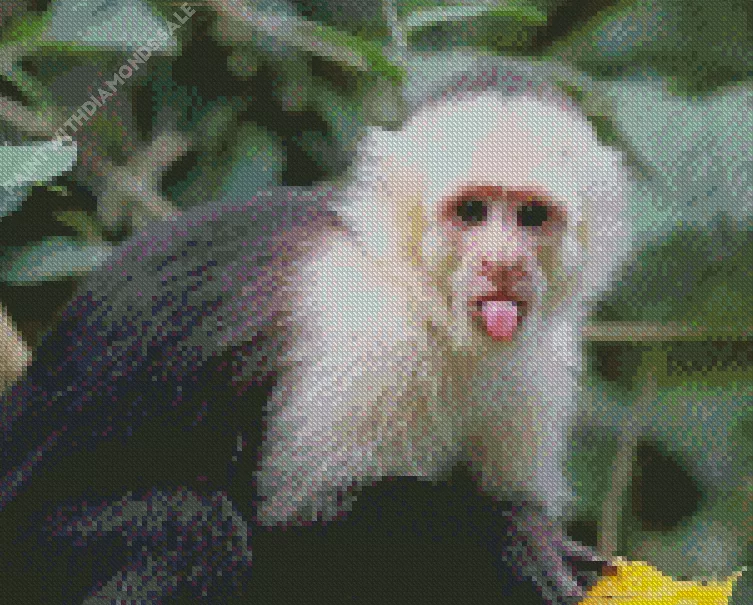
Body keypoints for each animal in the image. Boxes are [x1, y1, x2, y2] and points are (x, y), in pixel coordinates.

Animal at [0, 60, 634, 604]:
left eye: (532, 216)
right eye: (472, 211)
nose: (501, 263)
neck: (422, 299)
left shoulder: (540, 362)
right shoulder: (363, 335)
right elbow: (292, 544)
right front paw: (503, 538)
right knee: (189, 535)